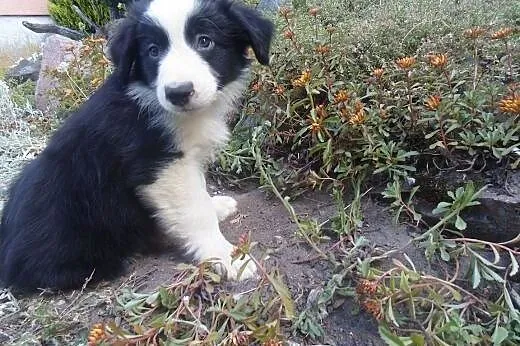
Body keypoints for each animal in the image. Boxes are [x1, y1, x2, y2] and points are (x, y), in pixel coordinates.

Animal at [0, 0, 274, 290]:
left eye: (205, 41)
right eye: (153, 51)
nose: (178, 93)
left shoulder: (186, 158)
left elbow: (199, 191)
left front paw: (217, 207)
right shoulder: (159, 164)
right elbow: (196, 211)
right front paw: (227, 257)